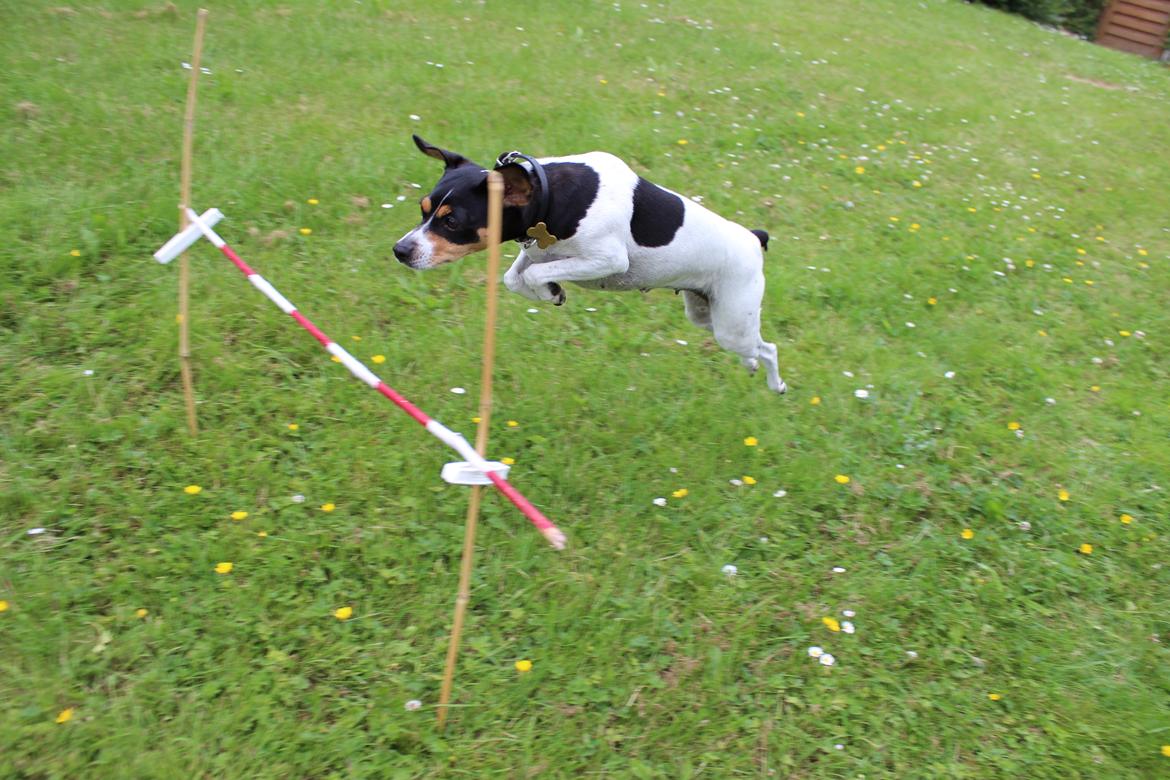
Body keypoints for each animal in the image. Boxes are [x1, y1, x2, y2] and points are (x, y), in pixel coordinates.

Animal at [393, 134, 786, 392]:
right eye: (423, 209)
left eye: (452, 222)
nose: (400, 250)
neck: (548, 194)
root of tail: (754, 238)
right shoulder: (534, 252)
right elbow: (514, 278)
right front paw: (551, 292)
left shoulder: (607, 260)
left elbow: (536, 274)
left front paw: (550, 289)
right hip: (706, 314)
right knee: (754, 346)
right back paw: (751, 365)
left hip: (731, 323)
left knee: (769, 348)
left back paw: (776, 384)